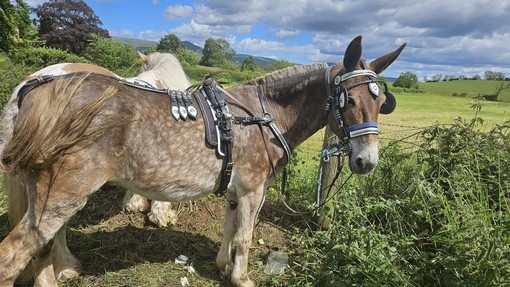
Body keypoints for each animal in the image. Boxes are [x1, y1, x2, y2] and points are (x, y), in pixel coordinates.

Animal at [0, 37, 406, 286]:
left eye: (380, 101)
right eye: (348, 100)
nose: (366, 160)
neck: (262, 114)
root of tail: (37, 87)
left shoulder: (237, 189)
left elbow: (229, 228)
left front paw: (224, 266)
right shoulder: (254, 190)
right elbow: (245, 235)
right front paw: (242, 277)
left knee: (43, 249)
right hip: (61, 196)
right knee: (15, 255)